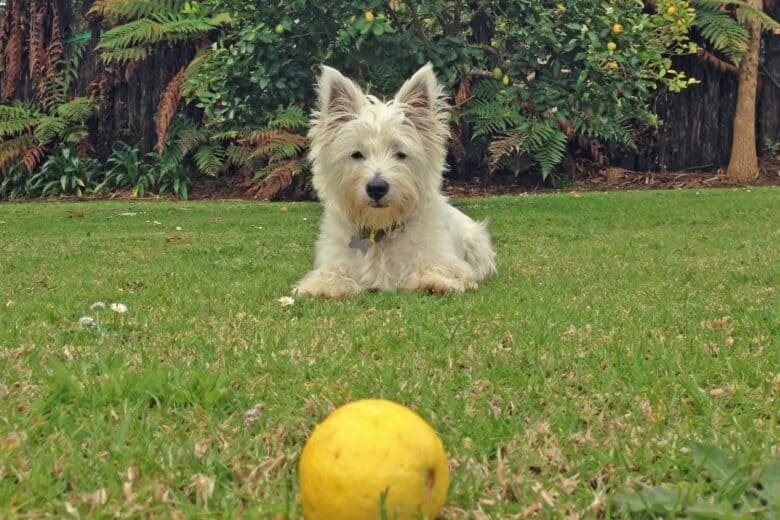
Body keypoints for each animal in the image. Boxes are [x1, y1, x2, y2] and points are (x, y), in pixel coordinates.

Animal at [296, 64, 496, 296]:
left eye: (400, 154)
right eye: (357, 154)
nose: (376, 188)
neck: (380, 228)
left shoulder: (447, 260)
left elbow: (439, 268)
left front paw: (434, 281)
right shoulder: (336, 260)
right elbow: (332, 273)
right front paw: (321, 286)